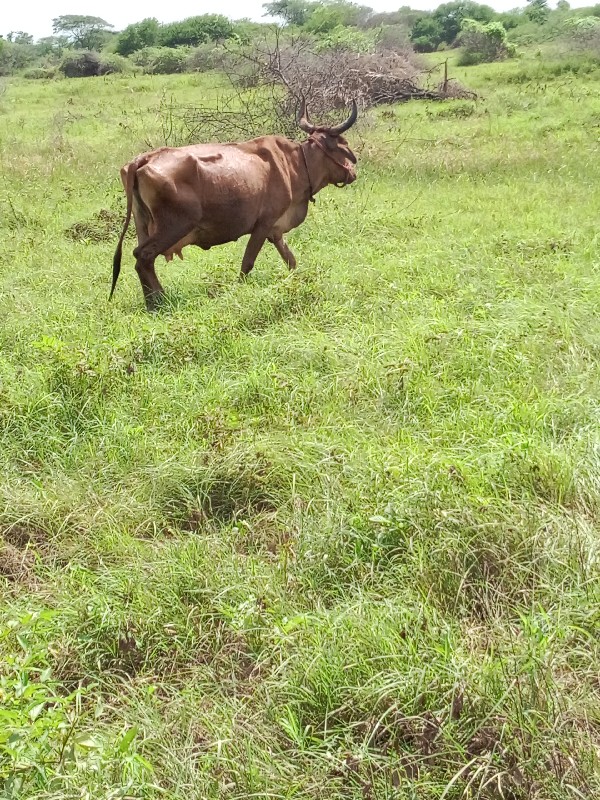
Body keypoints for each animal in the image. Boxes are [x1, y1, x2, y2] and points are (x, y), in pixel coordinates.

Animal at [109, 99, 356, 310]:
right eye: (343, 145)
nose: (354, 171)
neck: (293, 163)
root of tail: (144, 159)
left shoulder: (275, 230)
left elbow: (290, 260)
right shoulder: (263, 224)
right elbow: (247, 263)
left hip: (143, 225)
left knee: (142, 261)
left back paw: (152, 300)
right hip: (174, 226)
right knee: (143, 257)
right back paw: (158, 301)